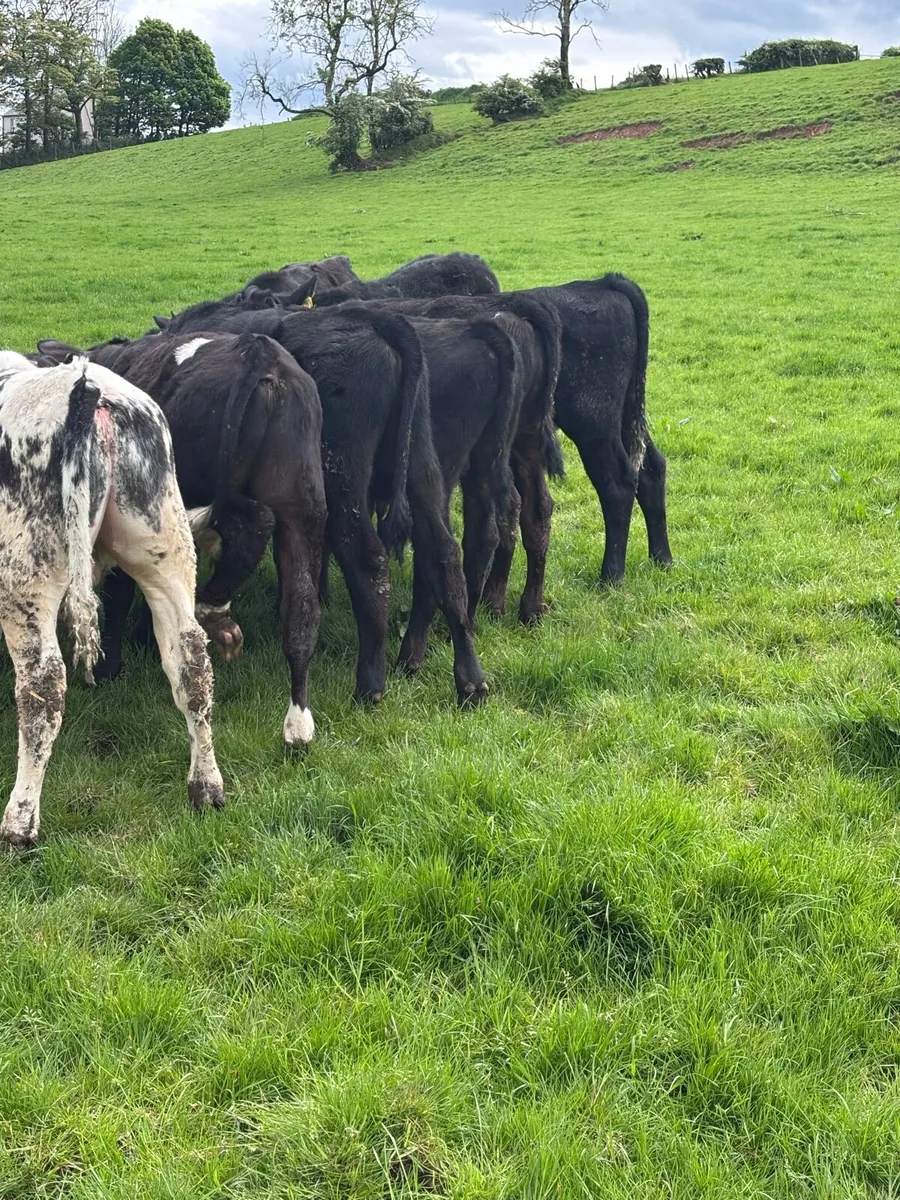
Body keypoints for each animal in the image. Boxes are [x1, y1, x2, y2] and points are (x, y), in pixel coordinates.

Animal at [0, 352, 225, 848]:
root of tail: (87, 384)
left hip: (24, 575)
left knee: (43, 684)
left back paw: (20, 822)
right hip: (164, 545)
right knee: (191, 660)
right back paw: (207, 786)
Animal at [35, 331, 327, 749]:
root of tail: (260, 351)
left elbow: (119, 594)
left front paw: (109, 668)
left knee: (252, 525)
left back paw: (212, 611)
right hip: (303, 507)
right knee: (302, 610)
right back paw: (298, 726)